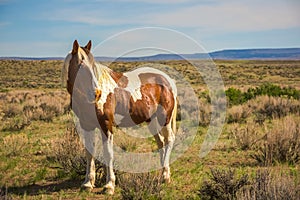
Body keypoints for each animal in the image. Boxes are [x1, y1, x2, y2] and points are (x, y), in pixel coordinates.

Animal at [61, 39, 177, 195]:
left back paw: (165, 176)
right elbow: (89, 153)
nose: (96, 93)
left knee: (169, 140)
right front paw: (88, 183)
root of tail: (167, 80)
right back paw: (163, 171)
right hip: (151, 121)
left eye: (93, 65)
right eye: (80, 64)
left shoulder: (106, 125)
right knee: (161, 142)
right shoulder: (86, 125)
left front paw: (109, 185)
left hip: (165, 119)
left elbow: (108, 153)